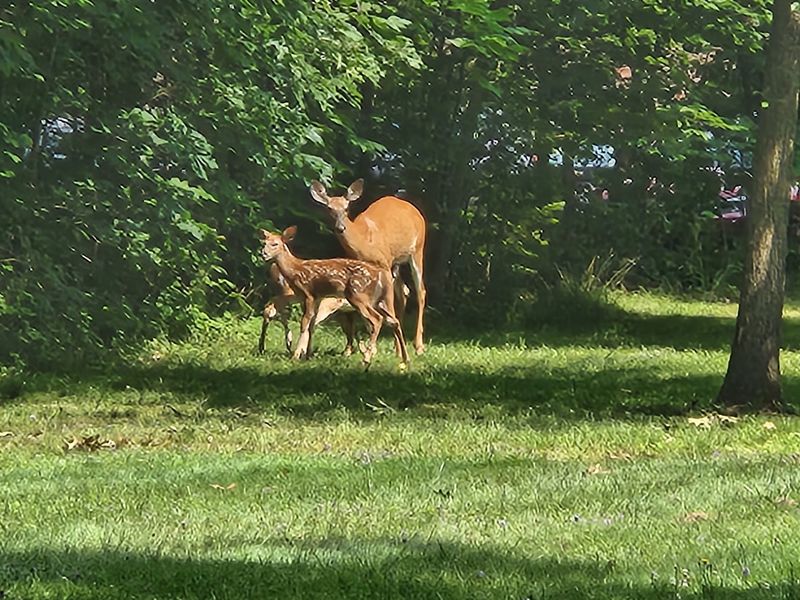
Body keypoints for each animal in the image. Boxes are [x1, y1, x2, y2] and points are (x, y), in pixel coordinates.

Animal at [259, 226, 409, 367]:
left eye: (275, 244)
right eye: (264, 243)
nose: (263, 254)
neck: (295, 269)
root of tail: (382, 276)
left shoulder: (308, 294)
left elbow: (305, 323)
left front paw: (296, 355)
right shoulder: (316, 297)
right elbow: (311, 324)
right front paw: (307, 354)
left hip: (357, 295)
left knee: (376, 319)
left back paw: (366, 358)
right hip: (379, 301)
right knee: (393, 321)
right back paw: (404, 359)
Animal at [310, 178, 427, 354]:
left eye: (346, 208)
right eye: (329, 208)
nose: (340, 227)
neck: (364, 243)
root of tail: (416, 211)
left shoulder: (384, 264)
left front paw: (373, 348)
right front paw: (367, 347)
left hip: (417, 249)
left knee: (420, 291)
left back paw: (418, 346)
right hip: (396, 262)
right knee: (404, 291)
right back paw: (397, 345)